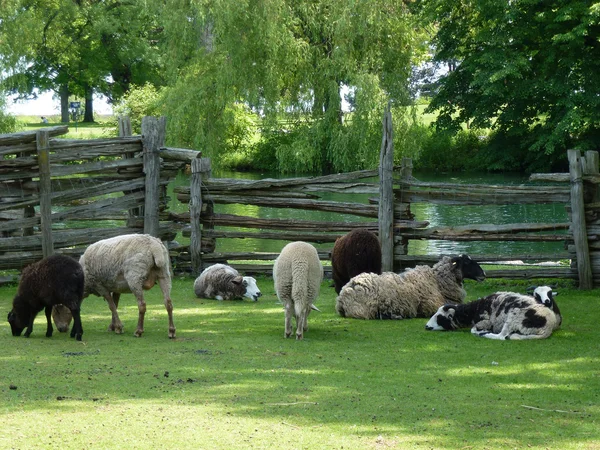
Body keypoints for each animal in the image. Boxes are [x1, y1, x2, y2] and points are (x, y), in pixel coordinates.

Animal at [336, 255, 486, 322]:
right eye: (466, 261)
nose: (484, 274)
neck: (437, 281)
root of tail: (342, 297)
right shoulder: (432, 305)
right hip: (366, 308)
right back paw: (395, 316)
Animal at [424, 286, 560, 340]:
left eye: (439, 317)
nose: (426, 326)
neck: (474, 310)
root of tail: (548, 327)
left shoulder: (485, 321)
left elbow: (473, 330)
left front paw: (481, 331)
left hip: (513, 317)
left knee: (502, 336)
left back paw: (486, 334)